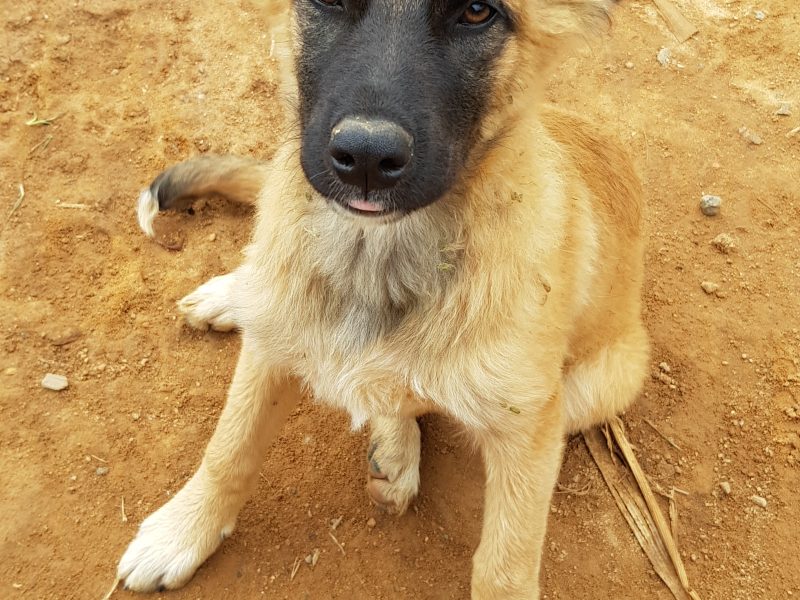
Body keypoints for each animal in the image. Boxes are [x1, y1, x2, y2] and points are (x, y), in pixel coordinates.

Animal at [117, 1, 648, 596]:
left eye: (477, 12)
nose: (366, 159)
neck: (374, 257)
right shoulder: (268, 353)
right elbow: (228, 450)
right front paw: (183, 531)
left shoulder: (528, 429)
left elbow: (504, 567)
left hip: (600, 385)